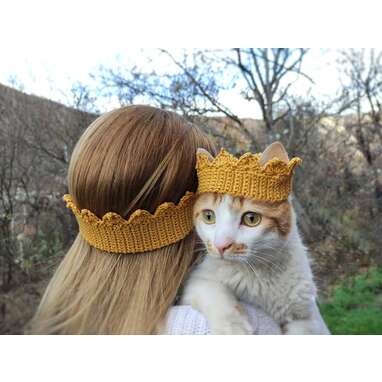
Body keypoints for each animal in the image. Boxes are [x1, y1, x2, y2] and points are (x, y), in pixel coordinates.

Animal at [182, 143, 322, 334]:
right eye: (209, 216)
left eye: (251, 219)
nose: (221, 245)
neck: (261, 273)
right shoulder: (197, 280)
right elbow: (212, 291)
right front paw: (233, 328)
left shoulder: (304, 317)